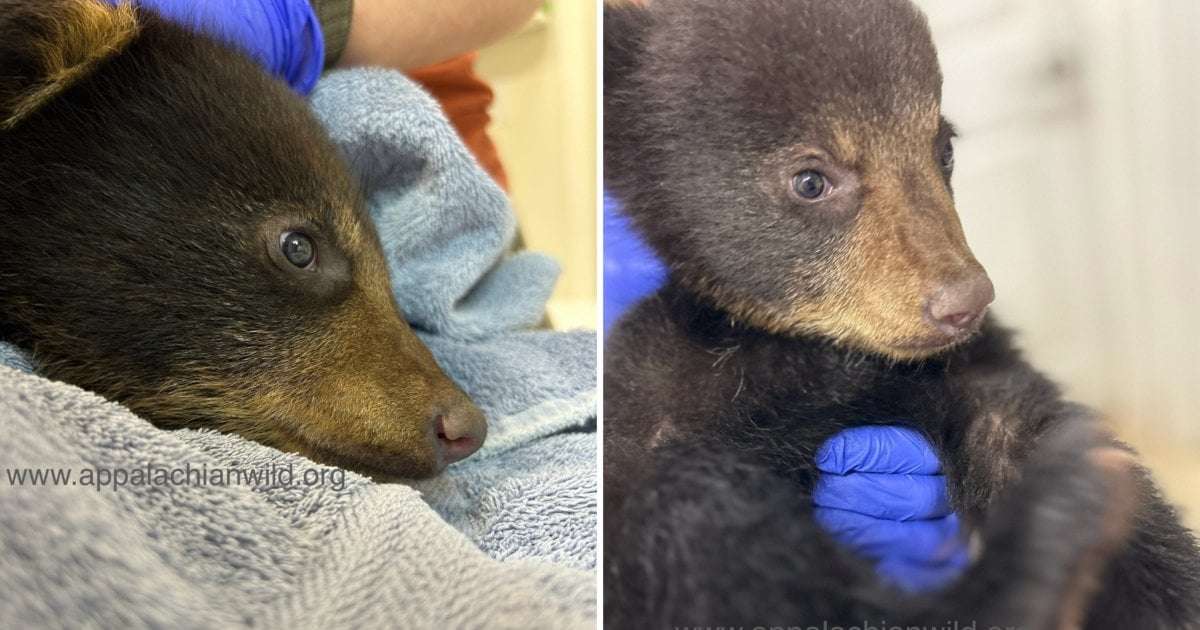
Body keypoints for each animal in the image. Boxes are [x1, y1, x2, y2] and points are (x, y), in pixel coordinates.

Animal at [602, 0, 1200, 628]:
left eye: (945, 148)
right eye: (811, 180)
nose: (965, 301)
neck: (820, 351)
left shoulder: (973, 370)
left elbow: (1023, 432)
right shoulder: (653, 404)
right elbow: (726, 569)